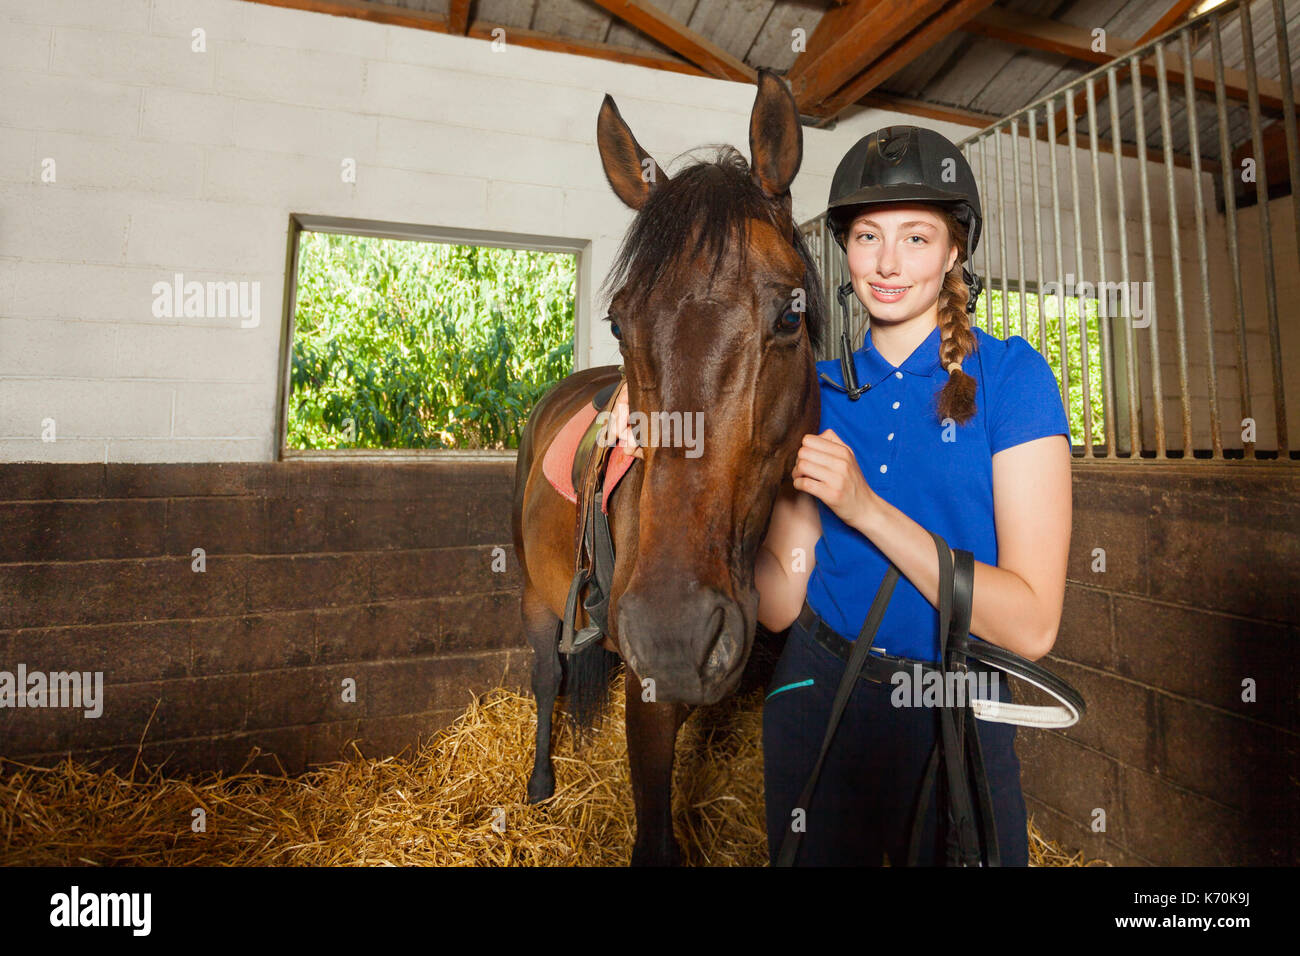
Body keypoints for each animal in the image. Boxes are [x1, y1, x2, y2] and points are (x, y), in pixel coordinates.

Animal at [512, 70, 826, 868]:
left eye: (790, 316)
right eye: (619, 323)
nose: (672, 633)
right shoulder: (647, 699)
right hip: (534, 591)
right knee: (546, 674)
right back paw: (539, 783)